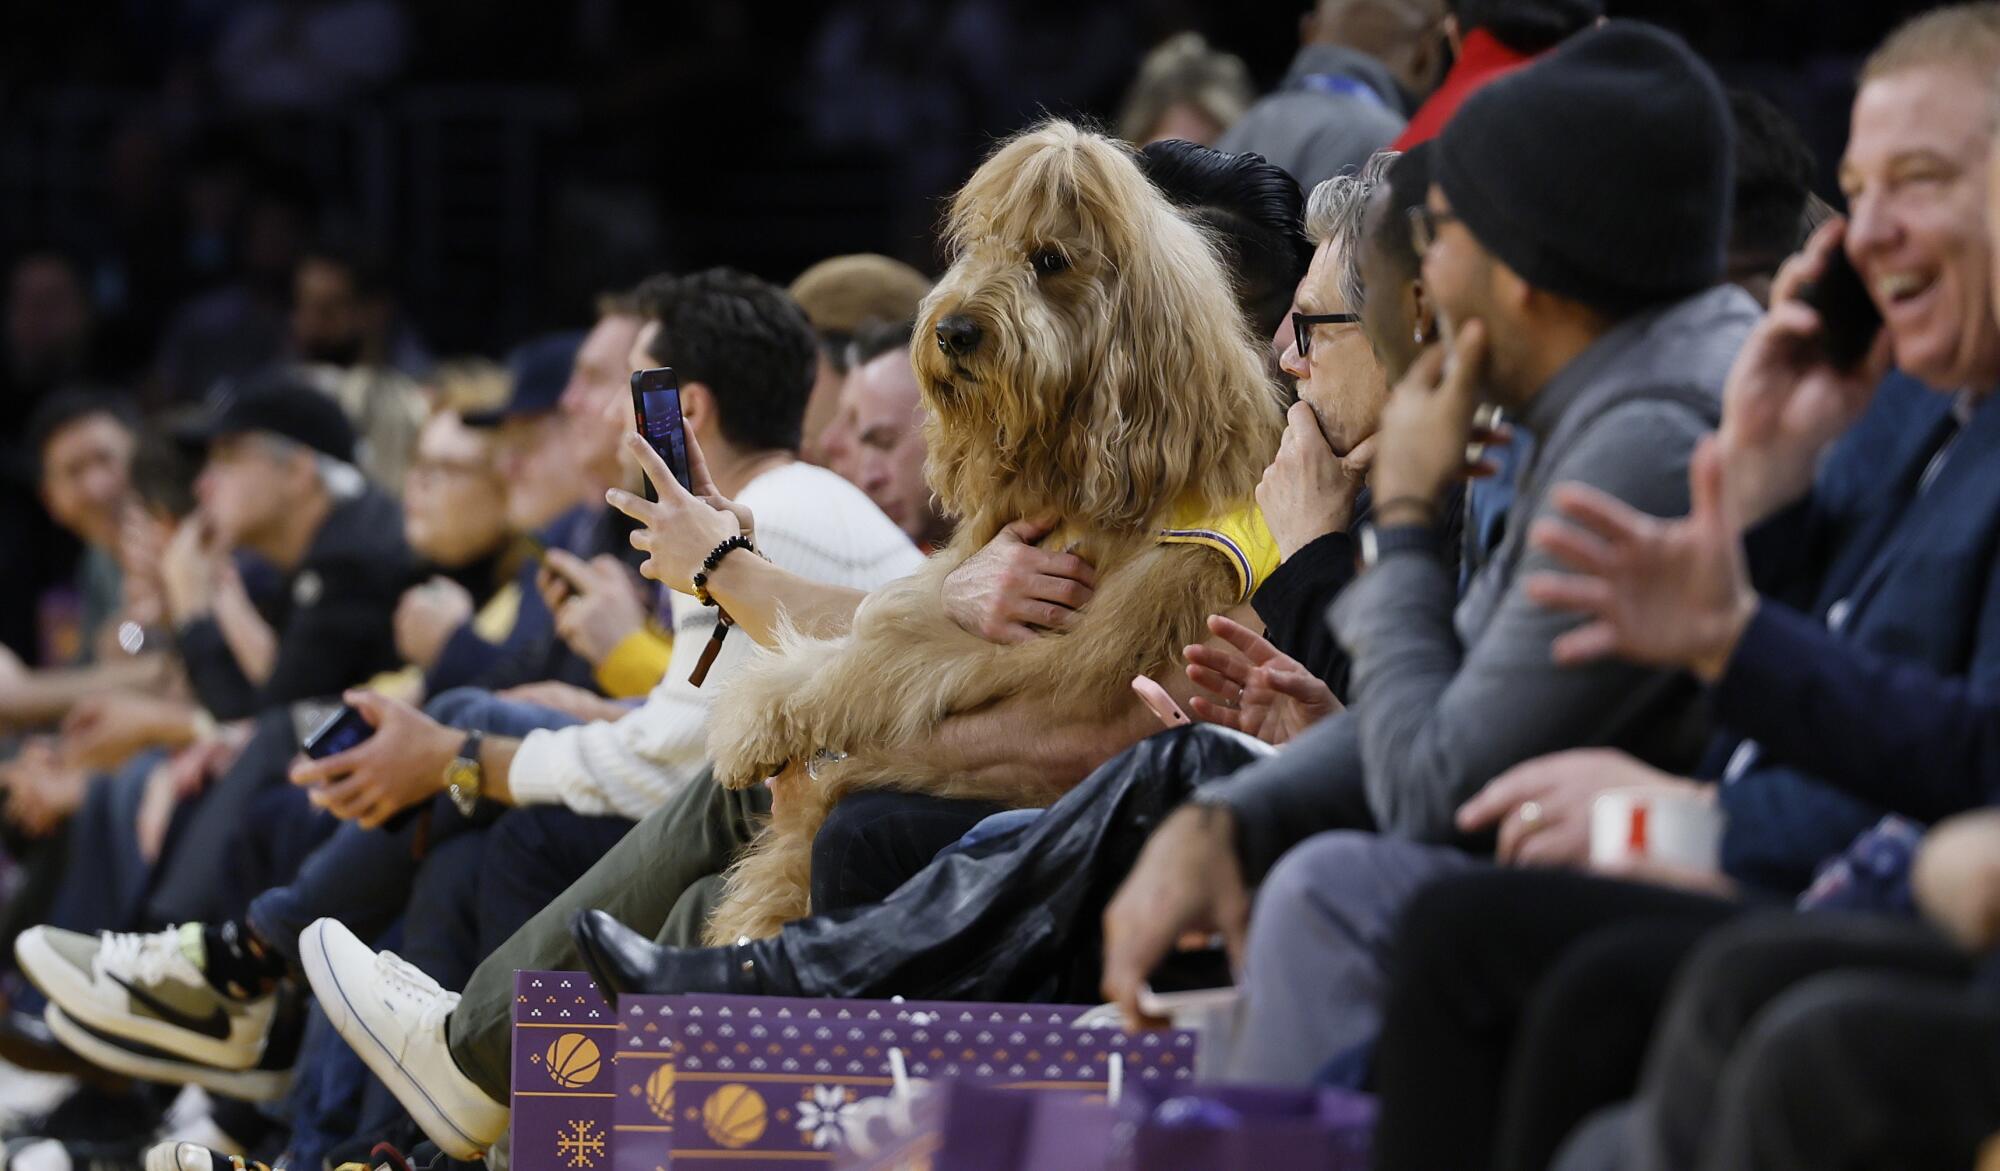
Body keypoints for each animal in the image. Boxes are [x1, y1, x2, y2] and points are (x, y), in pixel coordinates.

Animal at [708, 120, 1280, 939]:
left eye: (1050, 259)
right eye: (978, 245)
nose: (952, 332)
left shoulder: (1055, 648)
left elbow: (875, 661)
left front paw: (758, 729)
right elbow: (873, 628)